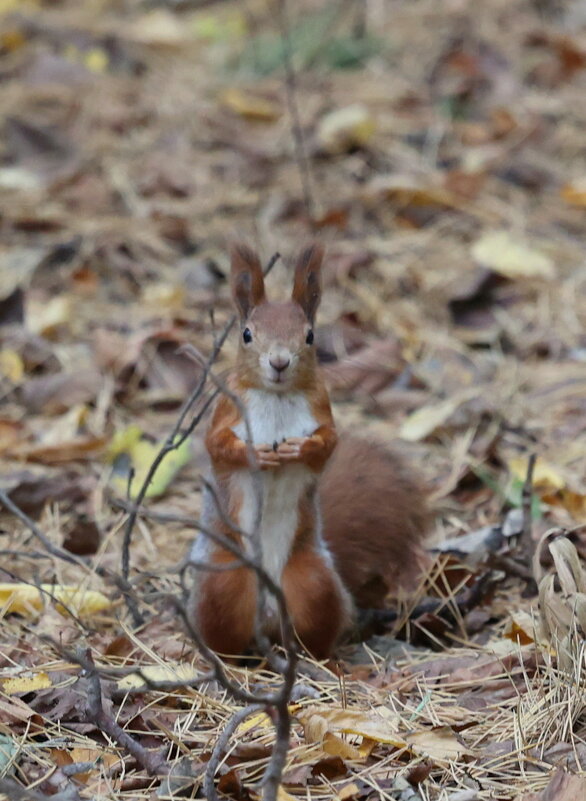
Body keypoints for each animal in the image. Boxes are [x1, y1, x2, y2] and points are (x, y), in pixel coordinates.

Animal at [187, 241, 428, 660]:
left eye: (310, 336)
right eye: (246, 334)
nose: (279, 362)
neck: (277, 396)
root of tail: (268, 613)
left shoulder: (322, 410)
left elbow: (328, 443)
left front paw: (299, 448)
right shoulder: (225, 411)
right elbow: (218, 445)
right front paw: (258, 454)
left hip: (313, 582)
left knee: (315, 632)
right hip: (224, 580)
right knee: (224, 637)